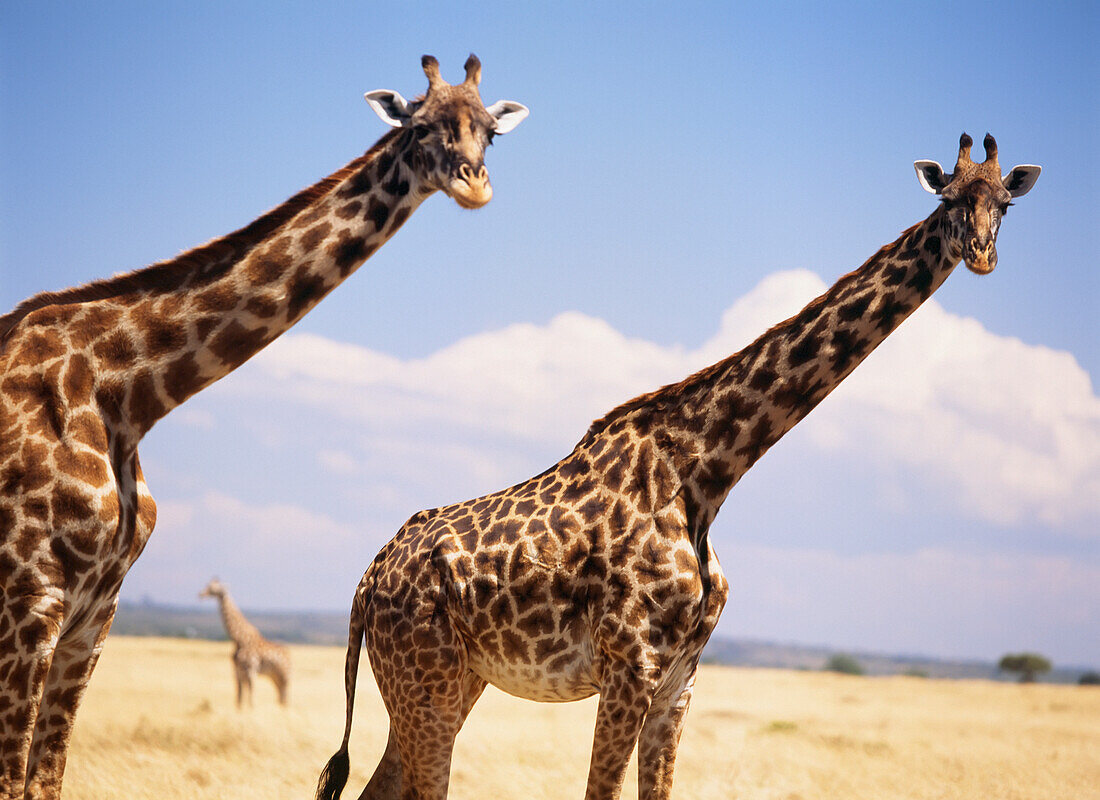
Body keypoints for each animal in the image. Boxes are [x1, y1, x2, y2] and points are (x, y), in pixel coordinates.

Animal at [200, 576, 290, 708]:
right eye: (207, 585)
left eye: (214, 588)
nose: (201, 594)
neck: (239, 639)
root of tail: (288, 654)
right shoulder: (237, 672)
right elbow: (239, 699)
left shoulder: (251, 671)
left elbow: (251, 699)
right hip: (274, 676)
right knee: (280, 696)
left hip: (284, 676)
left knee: (285, 696)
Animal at [314, 133, 1034, 800]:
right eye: (947, 198)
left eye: (1004, 201)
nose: (981, 254)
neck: (709, 474)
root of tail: (367, 579)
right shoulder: (629, 665)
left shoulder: (681, 675)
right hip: (426, 681)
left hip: (453, 680)